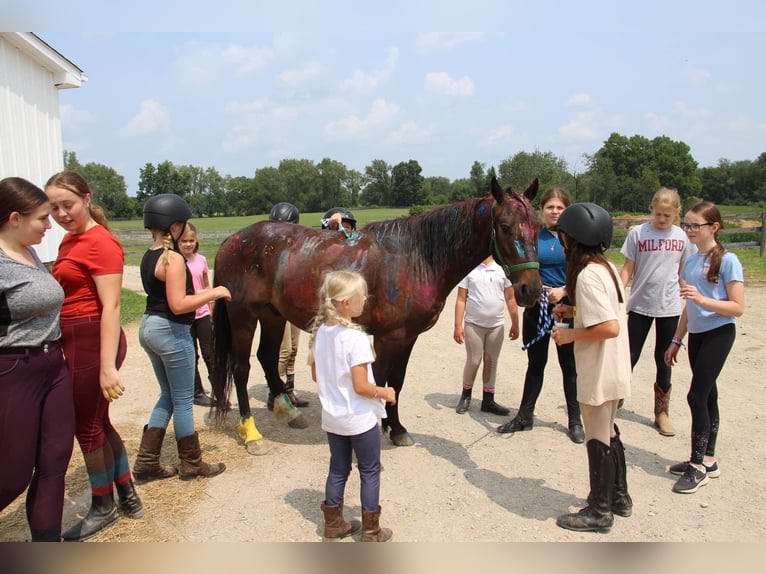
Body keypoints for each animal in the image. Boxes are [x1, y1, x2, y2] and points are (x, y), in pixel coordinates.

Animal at [213, 178, 544, 456]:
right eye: (504, 226)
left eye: (538, 228)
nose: (530, 290)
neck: (417, 257)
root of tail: (232, 240)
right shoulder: (388, 338)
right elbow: (381, 379)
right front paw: (378, 425)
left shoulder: (407, 338)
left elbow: (396, 381)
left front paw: (395, 429)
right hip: (243, 316)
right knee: (241, 368)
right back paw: (251, 434)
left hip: (272, 315)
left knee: (267, 358)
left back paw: (290, 412)